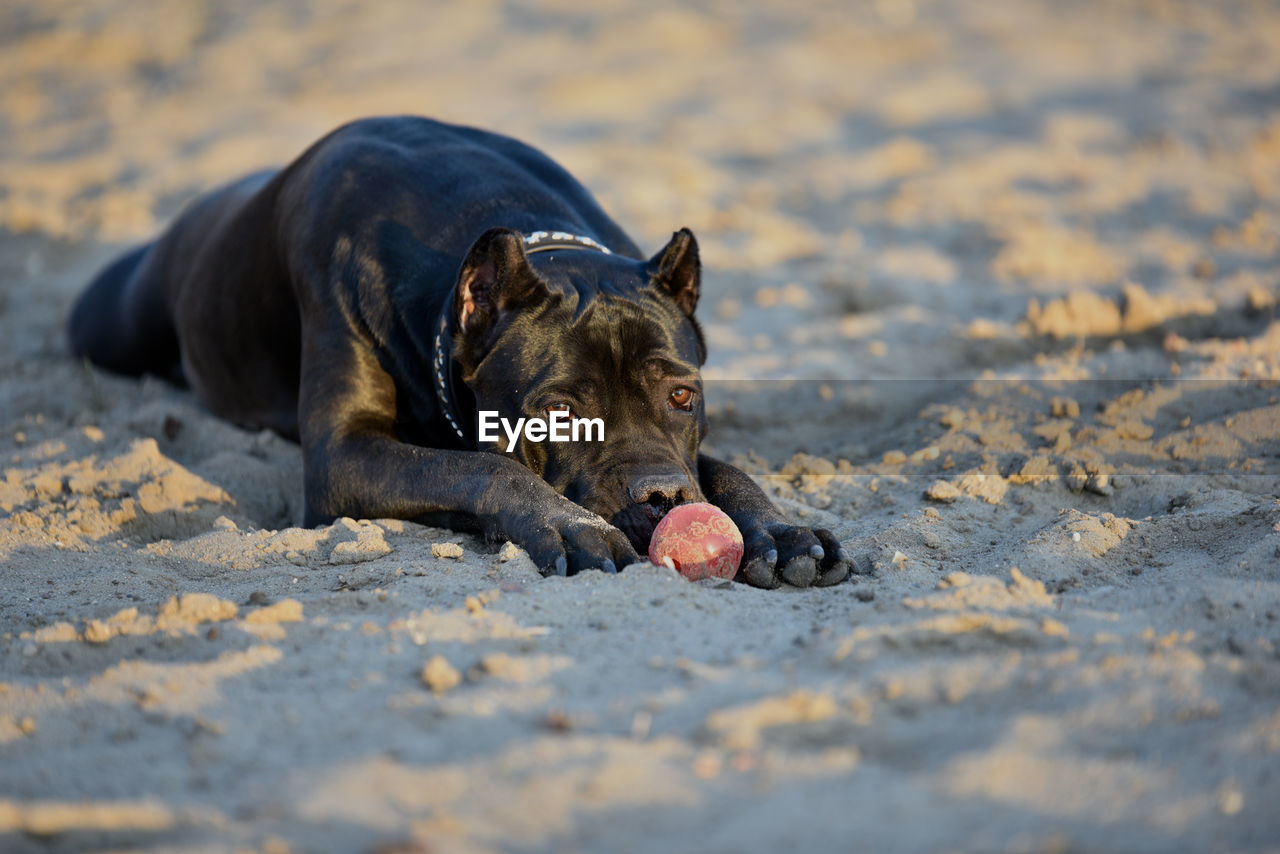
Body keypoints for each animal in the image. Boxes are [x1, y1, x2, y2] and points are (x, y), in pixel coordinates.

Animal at [67, 115, 849, 588]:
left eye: (682, 397)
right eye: (558, 414)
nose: (661, 496)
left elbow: (722, 467)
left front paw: (778, 527)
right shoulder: (344, 455)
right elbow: (480, 469)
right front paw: (568, 525)